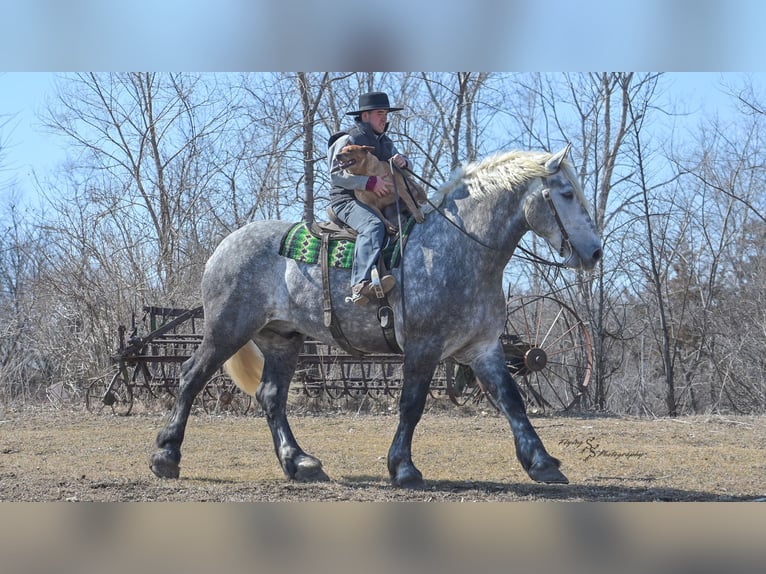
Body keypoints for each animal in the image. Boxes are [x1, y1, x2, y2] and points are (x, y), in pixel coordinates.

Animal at [150, 144, 602, 488]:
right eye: (565, 193)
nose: (595, 252)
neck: (459, 248)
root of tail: (225, 245)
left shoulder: (483, 348)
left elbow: (512, 400)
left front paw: (542, 463)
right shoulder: (423, 347)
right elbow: (411, 405)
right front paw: (403, 468)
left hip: (282, 338)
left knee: (271, 396)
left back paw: (300, 463)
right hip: (227, 329)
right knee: (191, 376)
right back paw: (166, 456)